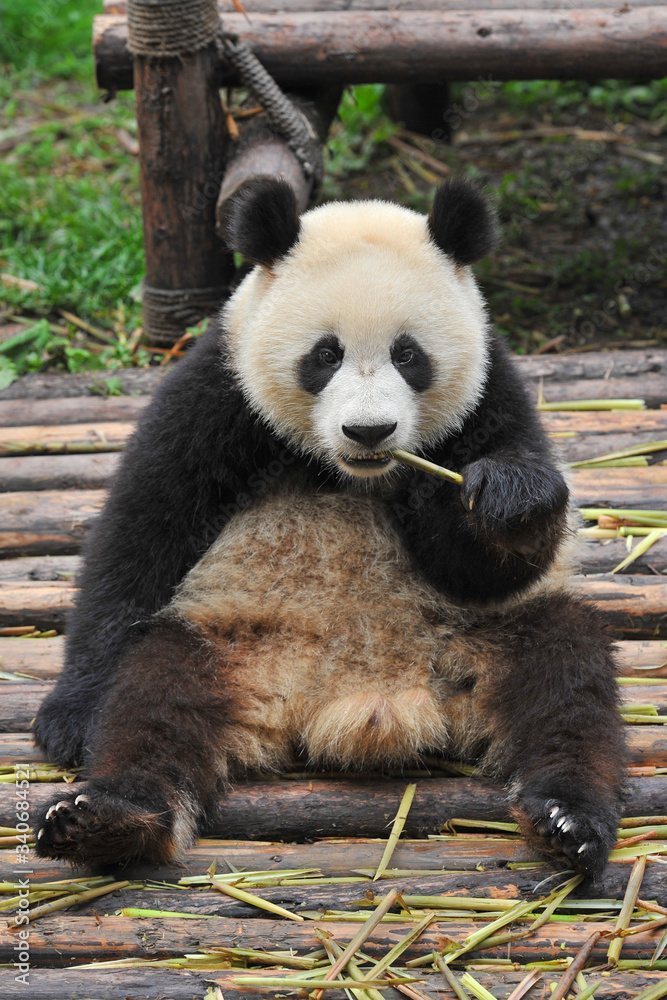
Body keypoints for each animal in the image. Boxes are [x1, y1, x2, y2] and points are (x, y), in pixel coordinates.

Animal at [33, 177, 625, 876]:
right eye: (324, 355)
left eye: (408, 355)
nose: (370, 431)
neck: (352, 475)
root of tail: (357, 705)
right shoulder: (219, 393)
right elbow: (144, 532)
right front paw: (71, 721)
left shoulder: (490, 399)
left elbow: (480, 568)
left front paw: (509, 498)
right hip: (231, 640)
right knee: (158, 694)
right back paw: (108, 817)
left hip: (478, 641)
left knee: (565, 676)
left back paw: (568, 816)